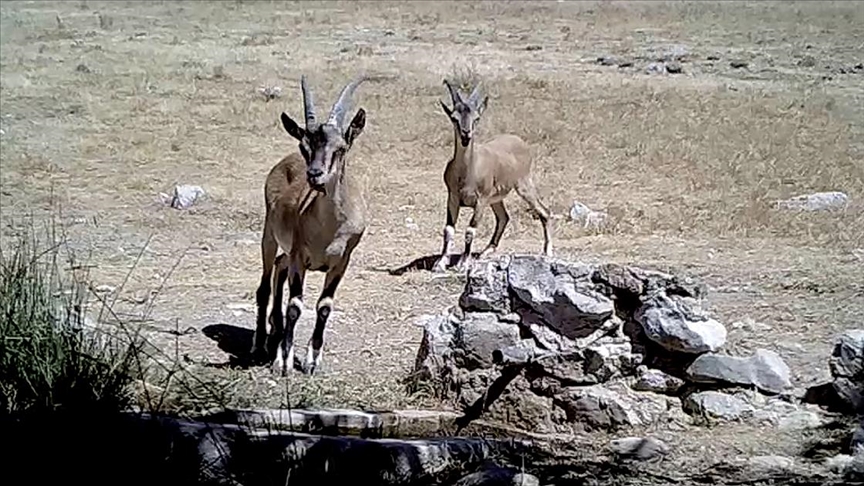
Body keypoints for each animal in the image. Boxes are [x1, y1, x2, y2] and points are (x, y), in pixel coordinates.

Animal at [251, 74, 370, 376]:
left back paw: (275, 330)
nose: (315, 175)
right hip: (269, 235)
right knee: (264, 285)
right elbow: (295, 306)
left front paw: (312, 360)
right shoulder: (299, 257)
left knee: (278, 268)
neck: (329, 230)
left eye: (341, 148)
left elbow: (324, 306)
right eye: (304, 146)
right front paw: (283, 361)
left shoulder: (342, 260)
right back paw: (260, 344)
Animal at [432, 78, 552, 272]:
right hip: (496, 198)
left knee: (544, 211)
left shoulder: (480, 200)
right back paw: (486, 251)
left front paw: (463, 263)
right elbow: (448, 230)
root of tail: (520, 141)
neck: (467, 173)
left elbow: (470, 230)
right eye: (454, 118)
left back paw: (547, 252)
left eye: (477, 118)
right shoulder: (453, 198)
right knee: (503, 217)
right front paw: (441, 262)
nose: (466, 135)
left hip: (523, 184)